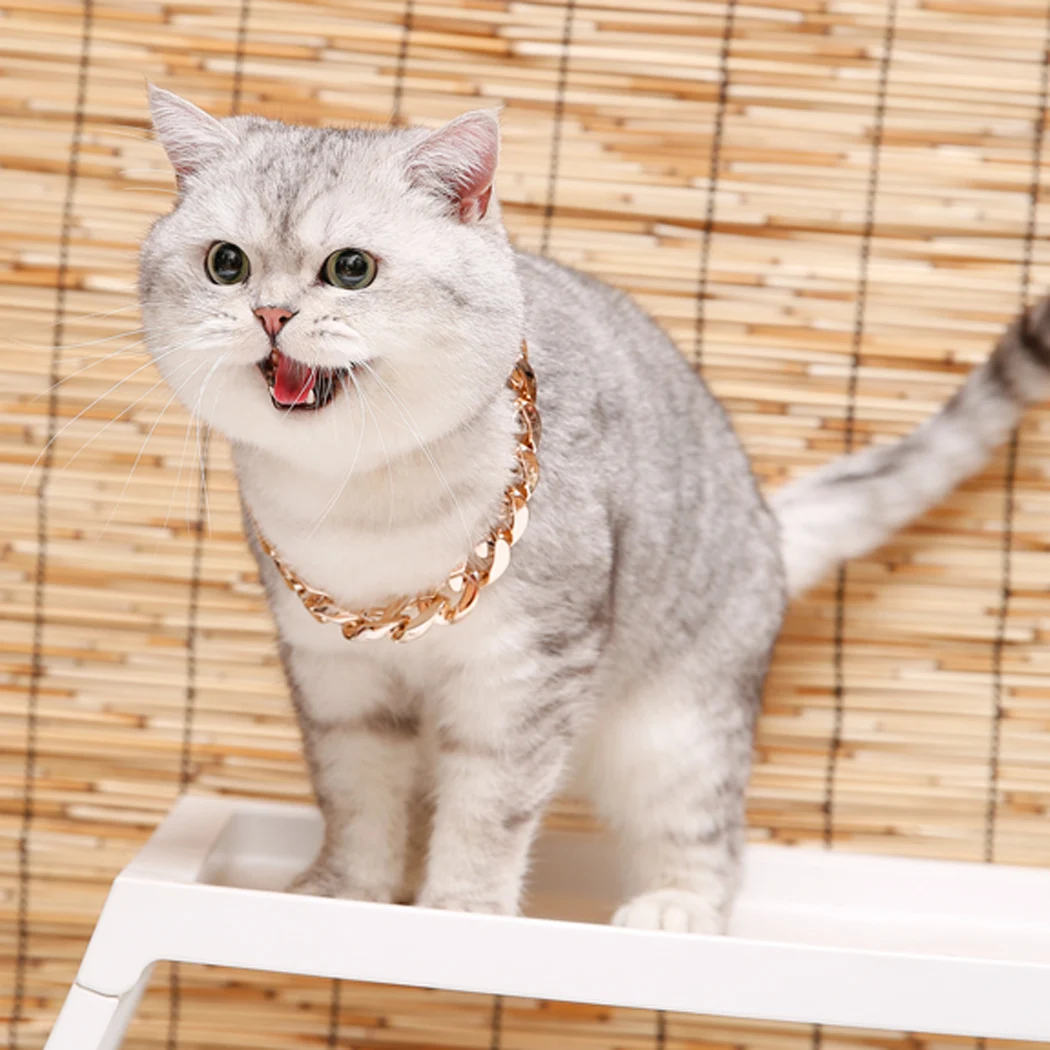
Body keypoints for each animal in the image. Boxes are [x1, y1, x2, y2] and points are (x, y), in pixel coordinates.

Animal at [140, 85, 1050, 933]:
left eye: (351, 269)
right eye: (227, 264)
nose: (270, 314)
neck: (362, 498)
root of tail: (766, 525)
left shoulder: (526, 668)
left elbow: (491, 805)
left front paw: (462, 906)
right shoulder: (336, 678)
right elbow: (356, 796)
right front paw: (343, 893)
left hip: (677, 730)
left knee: (707, 835)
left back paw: (676, 907)